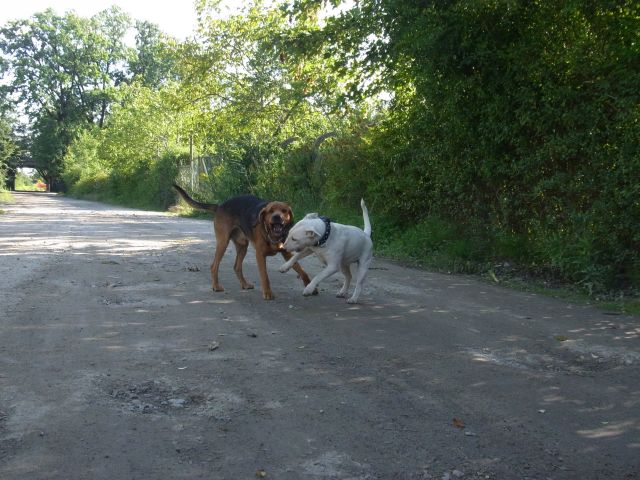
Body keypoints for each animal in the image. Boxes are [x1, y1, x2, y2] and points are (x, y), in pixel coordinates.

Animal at [171, 185, 314, 300]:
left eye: (284, 211)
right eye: (270, 211)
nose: (277, 217)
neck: (271, 234)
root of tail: (220, 206)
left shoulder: (286, 253)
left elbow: (301, 270)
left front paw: (310, 286)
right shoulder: (260, 255)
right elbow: (265, 276)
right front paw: (268, 293)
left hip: (242, 246)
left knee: (237, 266)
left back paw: (244, 284)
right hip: (223, 243)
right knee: (214, 266)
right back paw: (216, 286)